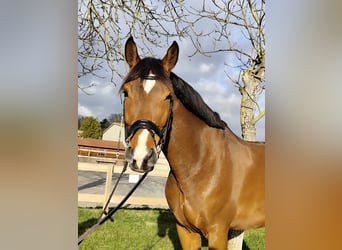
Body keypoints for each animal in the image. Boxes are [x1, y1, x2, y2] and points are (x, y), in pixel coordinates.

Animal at [120, 37, 264, 250]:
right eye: (126, 93)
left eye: (168, 96)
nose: (141, 157)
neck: (202, 165)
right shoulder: (185, 230)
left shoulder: (218, 233)